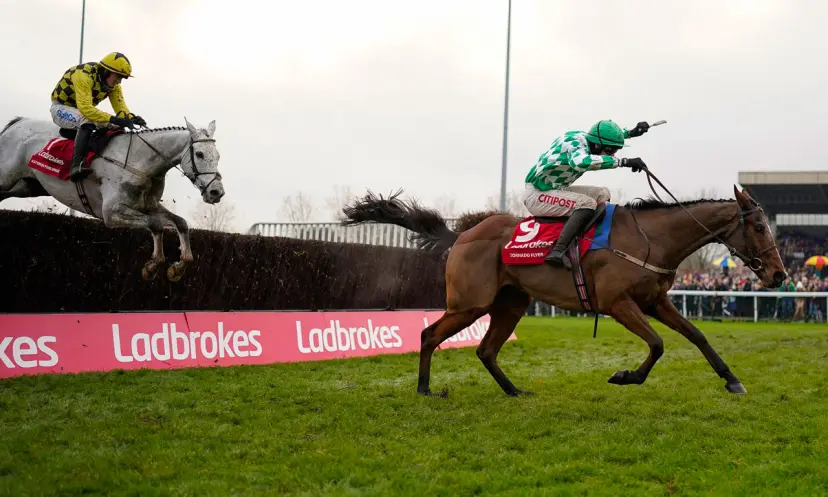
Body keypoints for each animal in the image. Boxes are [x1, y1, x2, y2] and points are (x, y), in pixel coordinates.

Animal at [0, 114, 225, 280]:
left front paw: (178, 268)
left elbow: (181, 223)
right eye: (200, 155)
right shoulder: (111, 213)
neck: (139, 162)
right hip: (6, 178)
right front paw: (152, 266)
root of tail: (18, 122)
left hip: (27, 186)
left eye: (218, 156)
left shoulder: (148, 206)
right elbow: (156, 225)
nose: (216, 192)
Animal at [340, 184, 784, 398]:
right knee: (429, 334)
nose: (779, 275)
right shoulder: (618, 303)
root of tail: (462, 234)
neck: (651, 239)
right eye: (759, 227)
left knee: (486, 350)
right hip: (470, 303)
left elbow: (698, 336)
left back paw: (514, 391)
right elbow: (658, 344)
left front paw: (732, 380)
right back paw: (425, 390)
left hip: (511, 303)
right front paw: (625, 376)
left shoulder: (655, 301)